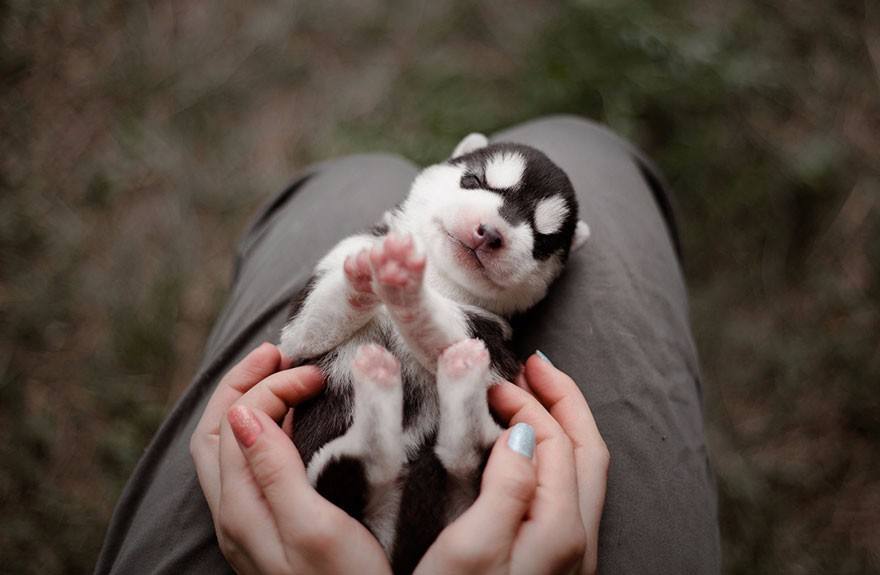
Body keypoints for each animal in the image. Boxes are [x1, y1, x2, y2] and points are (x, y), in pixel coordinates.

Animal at [278, 133, 588, 572]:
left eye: (542, 241)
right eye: (474, 181)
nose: (490, 233)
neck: (441, 278)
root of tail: (395, 545)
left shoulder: (492, 341)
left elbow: (441, 323)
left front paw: (410, 294)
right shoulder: (300, 328)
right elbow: (323, 312)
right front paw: (370, 269)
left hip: (484, 461)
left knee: (456, 454)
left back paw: (445, 380)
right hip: (324, 482)